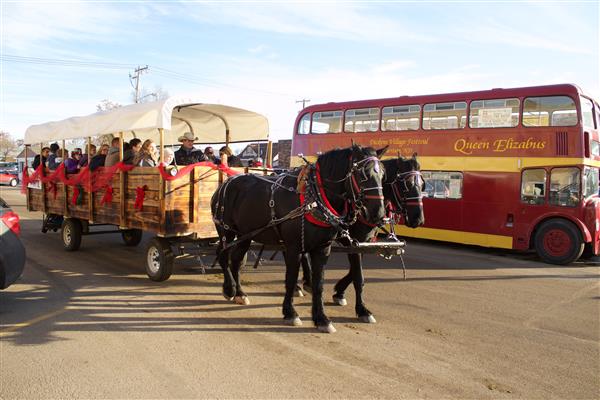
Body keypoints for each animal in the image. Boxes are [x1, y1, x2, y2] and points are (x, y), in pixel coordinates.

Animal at [211, 145, 390, 332]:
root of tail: (226, 183)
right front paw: (290, 313)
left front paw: (322, 318)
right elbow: (290, 279)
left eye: (383, 175)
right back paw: (230, 289)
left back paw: (240, 293)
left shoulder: (325, 248)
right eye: (362, 174)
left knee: (236, 261)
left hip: (246, 234)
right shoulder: (294, 247)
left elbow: (323, 283)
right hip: (226, 231)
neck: (314, 198)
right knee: (223, 255)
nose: (378, 214)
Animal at [302, 153, 424, 322]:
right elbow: (358, 276)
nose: (418, 219)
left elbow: (354, 272)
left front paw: (339, 291)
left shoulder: (364, 243)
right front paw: (362, 309)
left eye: (423, 184)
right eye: (406, 184)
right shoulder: (352, 243)